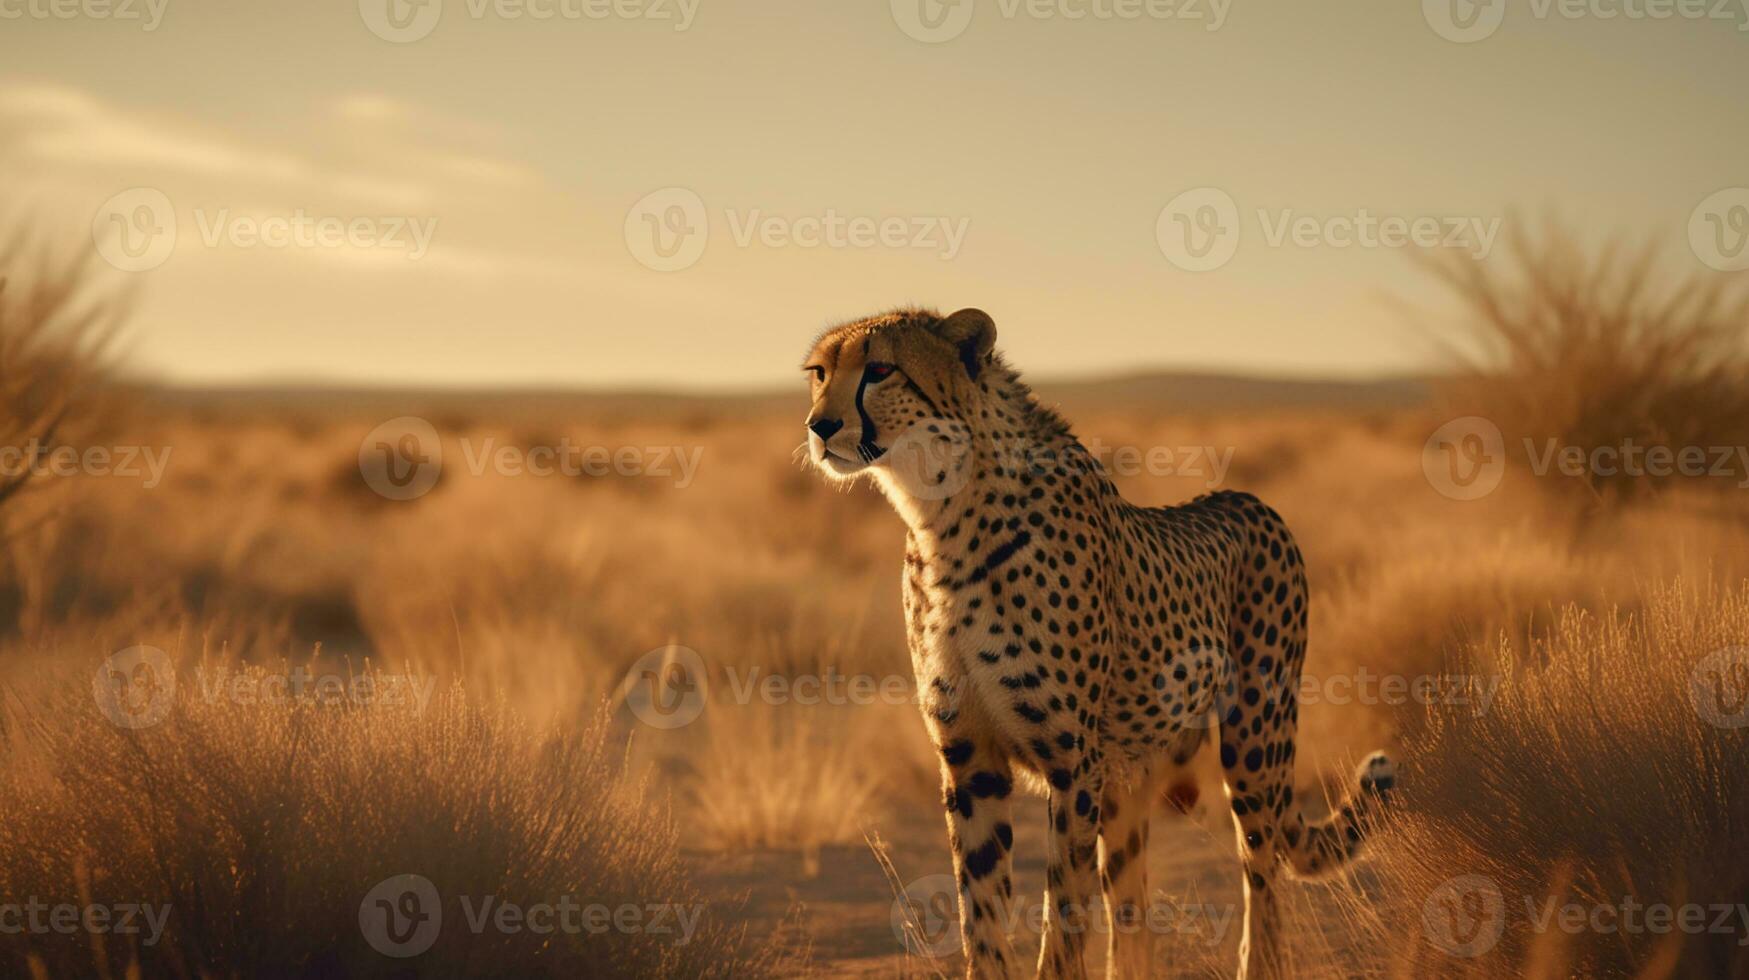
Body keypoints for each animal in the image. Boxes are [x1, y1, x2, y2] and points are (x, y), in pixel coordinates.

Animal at [801, 308, 1392, 980]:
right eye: (820, 373)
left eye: (879, 369)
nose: (819, 426)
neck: (943, 516)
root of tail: (1248, 499)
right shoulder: (971, 759)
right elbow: (981, 909)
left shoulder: (1071, 763)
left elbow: (1063, 912)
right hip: (1130, 774)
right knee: (1132, 910)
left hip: (1253, 739)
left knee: (1262, 875)